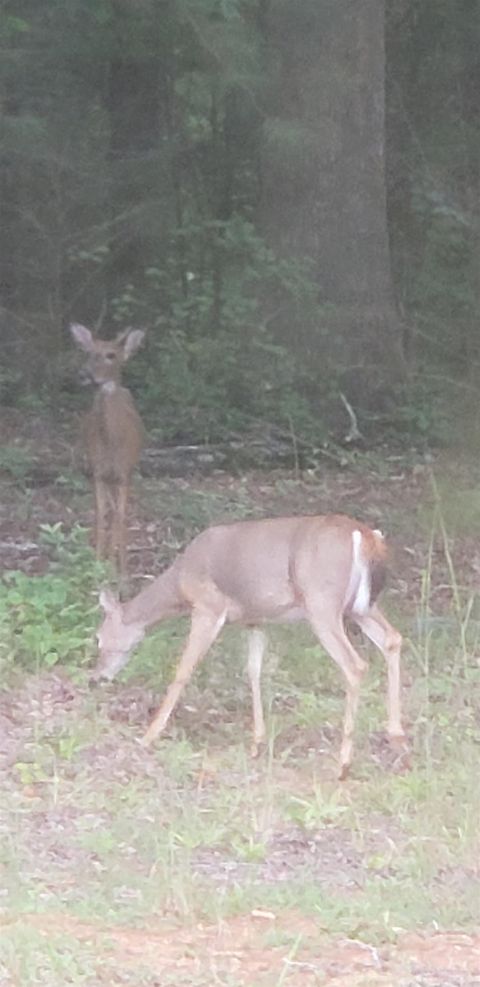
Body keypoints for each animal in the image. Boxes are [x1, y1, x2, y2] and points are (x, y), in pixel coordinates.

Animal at [69, 324, 144, 584]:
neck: (112, 443)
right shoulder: (98, 472)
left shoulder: (124, 474)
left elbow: (121, 516)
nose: (84, 374)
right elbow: (101, 514)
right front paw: (97, 567)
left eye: (111, 355)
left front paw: (122, 576)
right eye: (88, 352)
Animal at [91, 512, 404, 776]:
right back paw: (397, 736)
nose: (98, 675)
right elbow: (253, 670)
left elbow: (183, 669)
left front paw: (148, 735)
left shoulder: (208, 607)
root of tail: (366, 535)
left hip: (322, 602)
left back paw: (344, 762)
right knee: (392, 638)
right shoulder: (255, 619)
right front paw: (257, 742)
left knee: (355, 665)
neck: (179, 584)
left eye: (99, 637)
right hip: (359, 606)